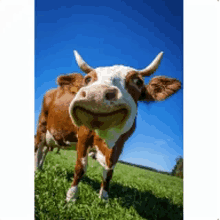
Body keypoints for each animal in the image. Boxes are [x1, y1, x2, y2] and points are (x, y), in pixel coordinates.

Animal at [65, 50, 180, 202]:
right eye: (88, 79)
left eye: (138, 81)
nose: (96, 94)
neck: (106, 138)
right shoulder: (83, 135)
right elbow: (81, 166)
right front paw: (71, 196)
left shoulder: (120, 145)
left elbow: (109, 173)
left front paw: (104, 197)